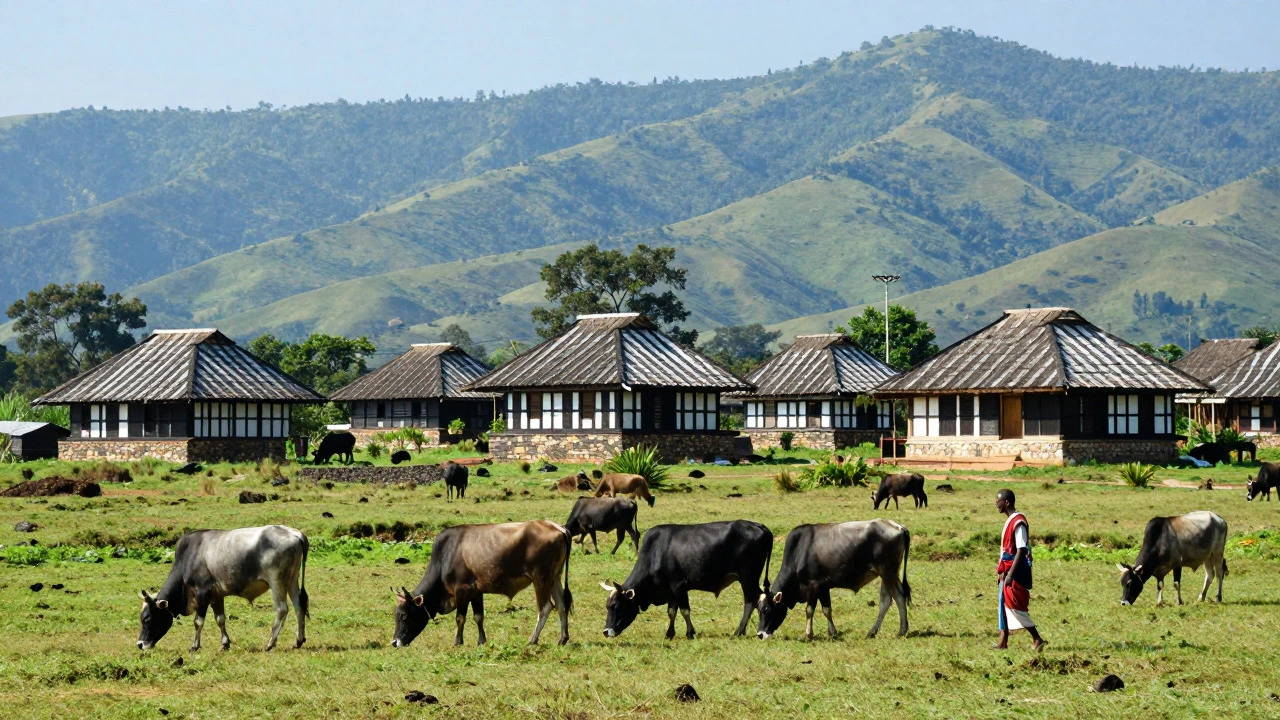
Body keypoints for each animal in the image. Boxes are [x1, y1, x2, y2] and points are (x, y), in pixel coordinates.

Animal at [137, 525, 309, 652]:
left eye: (147, 617)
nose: (140, 644)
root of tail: (294, 533)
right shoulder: (216, 596)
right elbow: (220, 619)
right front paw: (225, 644)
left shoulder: (202, 594)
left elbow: (198, 622)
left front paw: (194, 646)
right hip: (292, 581)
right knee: (299, 607)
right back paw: (298, 641)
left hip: (277, 581)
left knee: (282, 609)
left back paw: (270, 643)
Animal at [391, 520, 572, 647]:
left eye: (404, 615)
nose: (394, 642)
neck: (446, 555)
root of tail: (559, 528)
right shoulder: (476, 592)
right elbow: (479, 617)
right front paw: (481, 641)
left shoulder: (462, 590)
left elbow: (460, 618)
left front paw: (458, 642)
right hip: (555, 577)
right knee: (562, 605)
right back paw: (562, 639)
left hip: (541, 579)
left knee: (546, 608)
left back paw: (532, 639)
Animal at [601, 520, 772, 640]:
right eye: (607, 606)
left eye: (617, 606)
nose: (606, 631)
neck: (656, 551)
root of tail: (759, 526)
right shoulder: (671, 590)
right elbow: (671, 612)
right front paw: (669, 633)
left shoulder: (679, 586)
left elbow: (684, 611)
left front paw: (690, 633)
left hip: (748, 578)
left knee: (751, 601)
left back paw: (739, 631)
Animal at [756, 519, 911, 640]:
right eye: (758, 609)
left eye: (767, 609)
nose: (760, 634)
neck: (799, 552)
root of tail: (898, 527)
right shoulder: (823, 588)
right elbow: (827, 609)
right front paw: (832, 632)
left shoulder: (813, 586)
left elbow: (810, 610)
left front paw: (809, 634)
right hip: (889, 575)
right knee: (886, 601)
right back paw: (872, 631)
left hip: (888, 573)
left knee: (899, 597)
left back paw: (902, 630)